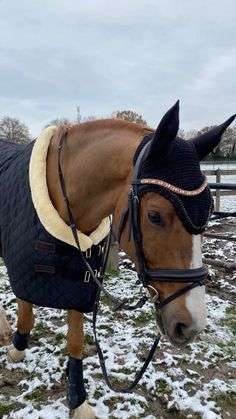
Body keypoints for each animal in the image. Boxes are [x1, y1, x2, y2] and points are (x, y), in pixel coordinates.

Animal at [0, 101, 235, 419]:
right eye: (155, 216)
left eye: (209, 211)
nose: (192, 325)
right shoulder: (23, 269)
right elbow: (27, 312)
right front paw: (17, 347)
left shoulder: (79, 281)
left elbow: (75, 340)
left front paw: (77, 401)